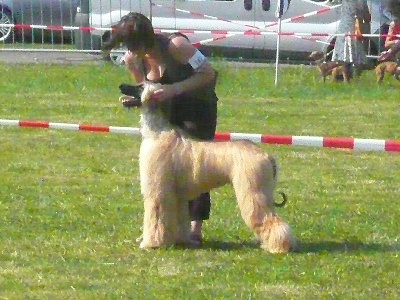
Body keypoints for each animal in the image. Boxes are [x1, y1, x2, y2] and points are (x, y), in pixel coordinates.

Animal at [129, 82, 296, 253]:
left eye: (140, 86)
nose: (122, 86)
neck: (157, 132)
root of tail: (266, 155)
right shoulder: (178, 196)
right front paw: (180, 240)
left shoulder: (158, 192)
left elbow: (155, 218)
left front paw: (151, 243)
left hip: (253, 191)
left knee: (270, 219)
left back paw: (279, 247)